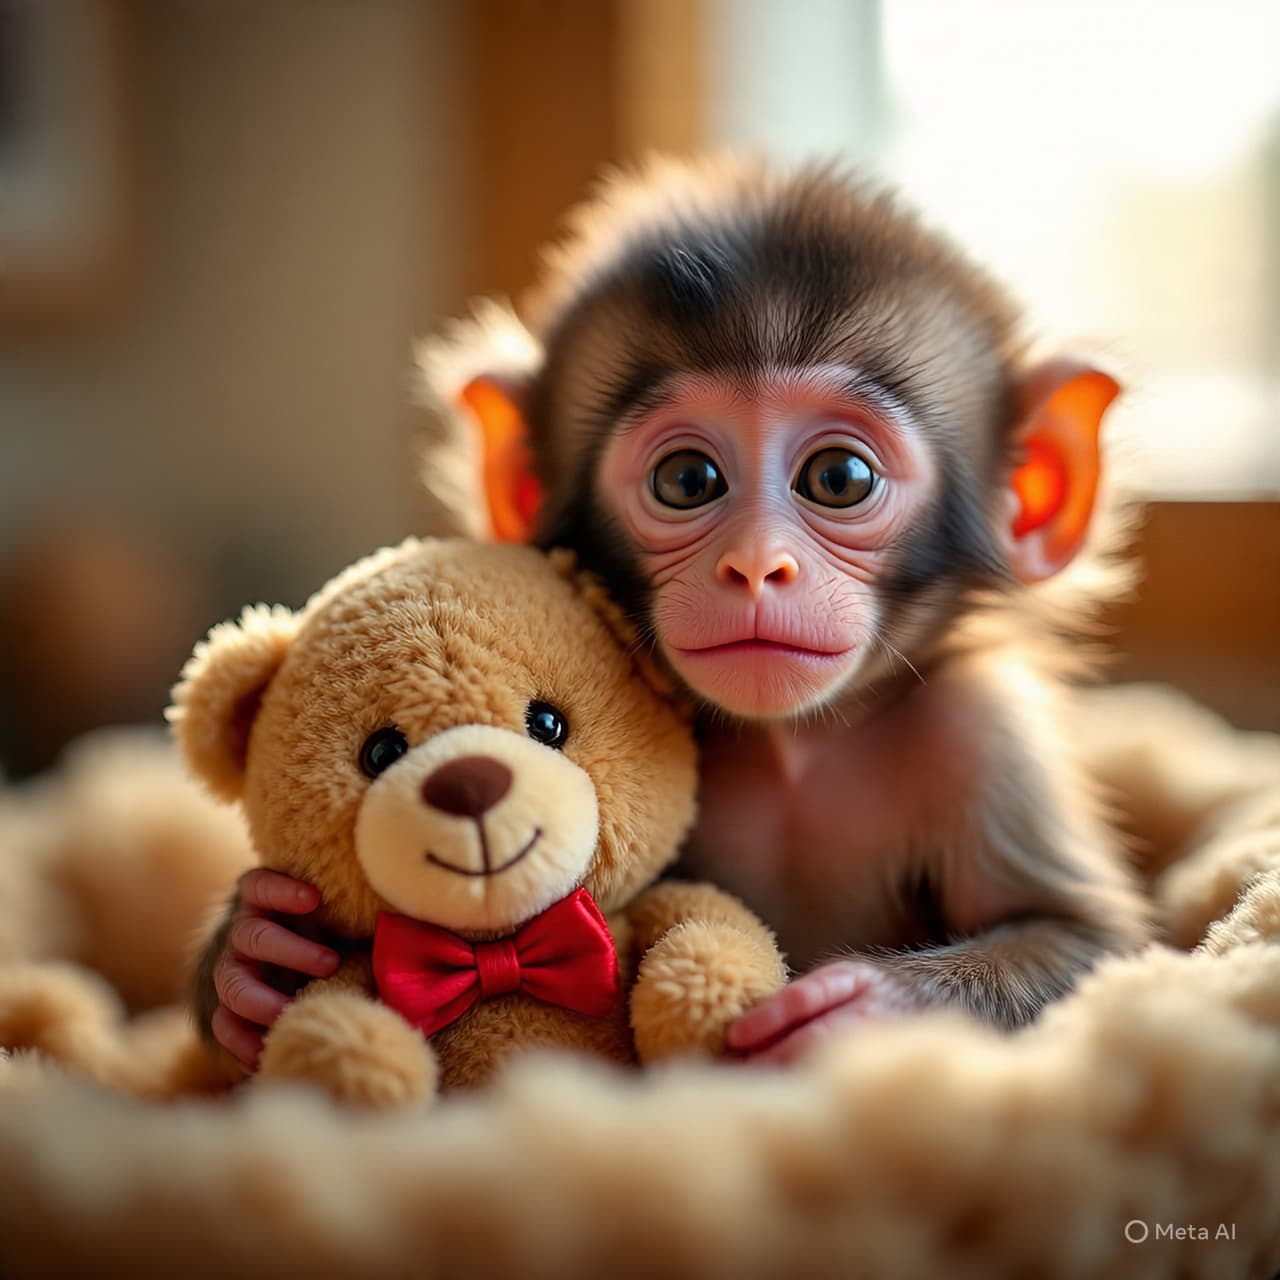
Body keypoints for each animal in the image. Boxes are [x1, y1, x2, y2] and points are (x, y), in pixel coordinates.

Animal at [197, 157, 1153, 1070]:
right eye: (688, 480)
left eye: (839, 479)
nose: (756, 565)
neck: (792, 748)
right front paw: (253, 951)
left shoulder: (981, 729)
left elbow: (1097, 942)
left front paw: (861, 1014)